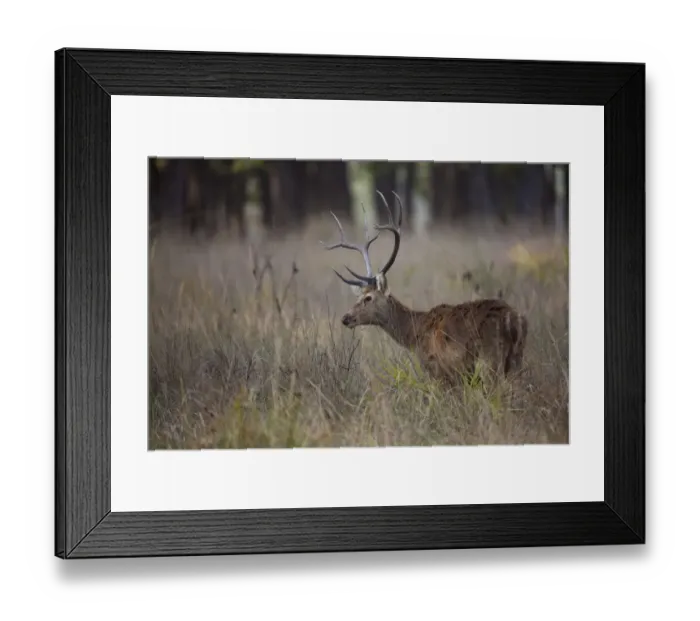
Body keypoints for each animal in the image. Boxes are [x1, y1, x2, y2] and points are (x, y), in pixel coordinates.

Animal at [320, 190, 528, 387]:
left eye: (368, 298)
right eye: (358, 297)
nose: (345, 318)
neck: (415, 334)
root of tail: (514, 320)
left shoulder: (438, 368)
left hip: (490, 358)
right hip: (516, 359)